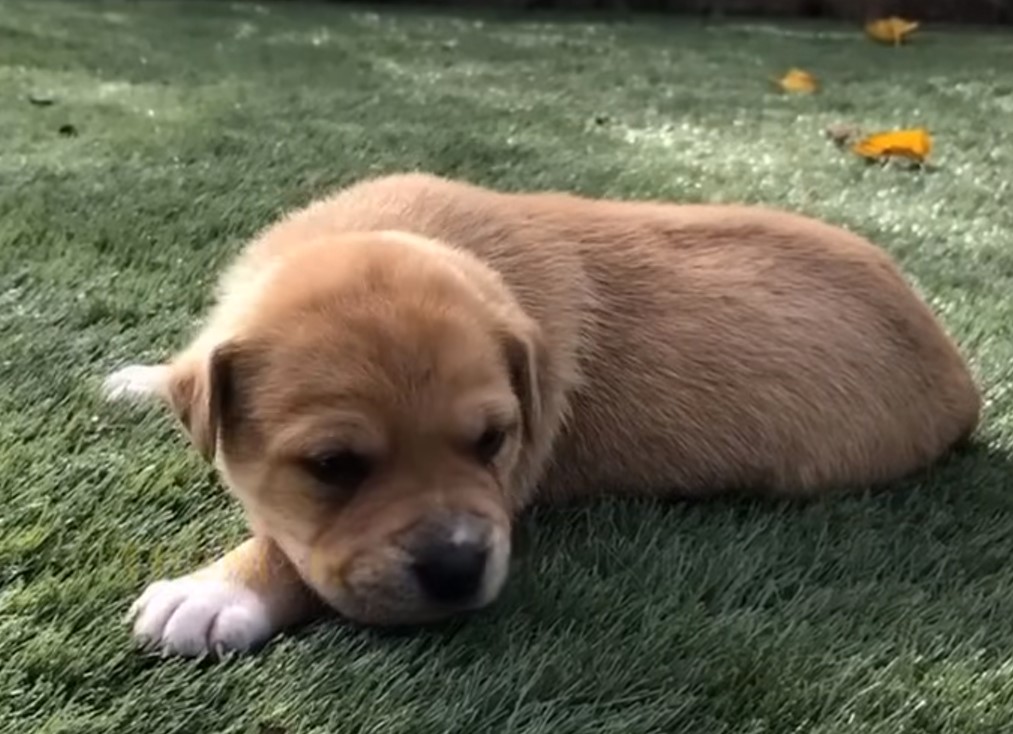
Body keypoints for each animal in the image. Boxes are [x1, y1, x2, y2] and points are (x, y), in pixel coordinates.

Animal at [104, 173, 980, 660]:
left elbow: (290, 552)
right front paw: (145, 378)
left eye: (493, 442)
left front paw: (217, 593)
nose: (456, 569)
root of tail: (961, 377)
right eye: (334, 467)